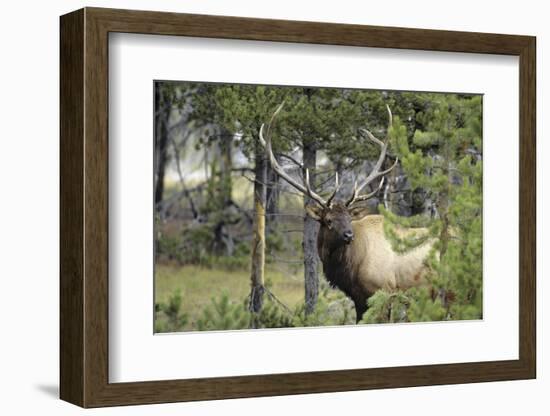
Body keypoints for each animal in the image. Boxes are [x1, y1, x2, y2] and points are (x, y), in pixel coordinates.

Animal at [260, 103, 436, 322]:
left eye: (349, 218)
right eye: (328, 220)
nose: (348, 235)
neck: (350, 269)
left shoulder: (384, 292)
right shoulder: (358, 299)